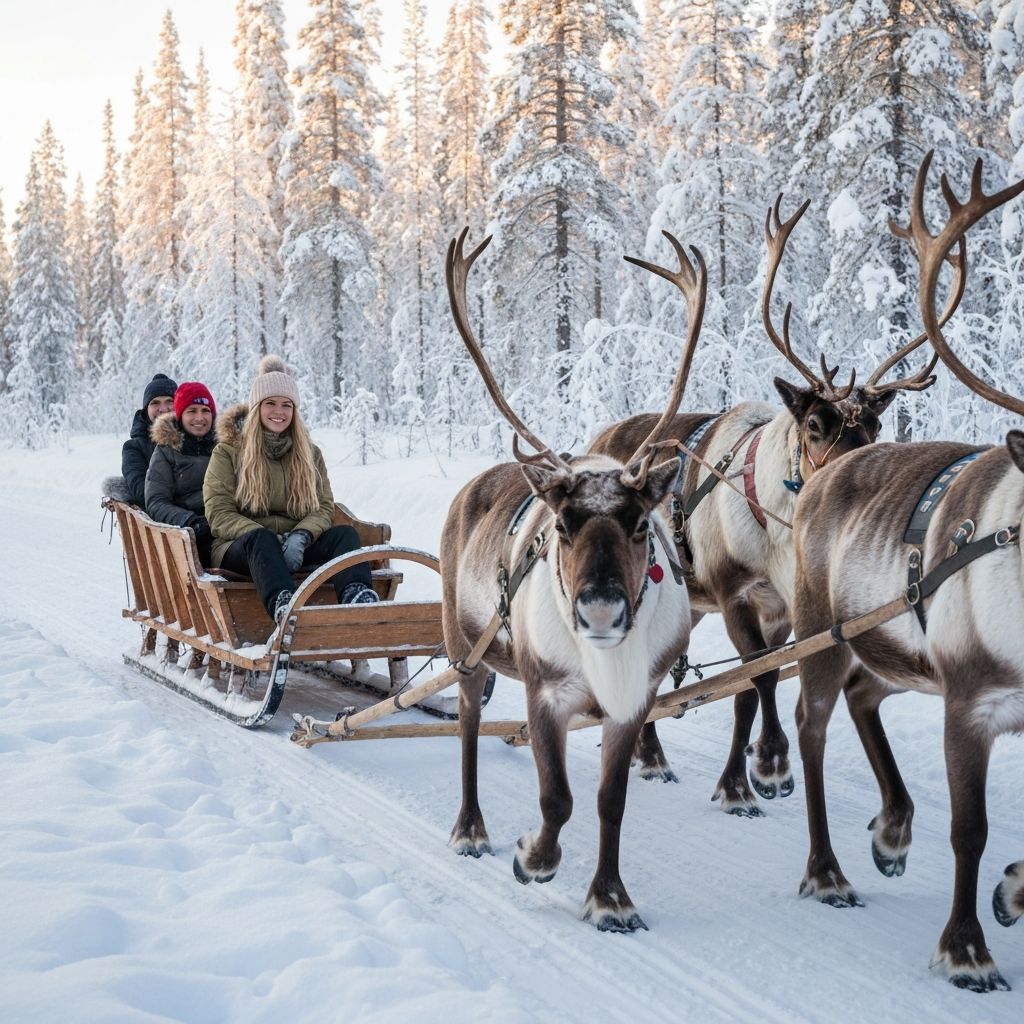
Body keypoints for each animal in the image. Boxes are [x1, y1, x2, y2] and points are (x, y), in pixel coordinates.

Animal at [441, 228, 705, 931]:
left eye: (641, 524)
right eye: (562, 525)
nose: (602, 611)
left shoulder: (635, 700)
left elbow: (611, 800)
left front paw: (610, 897)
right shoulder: (545, 690)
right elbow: (555, 798)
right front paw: (532, 857)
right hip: (463, 644)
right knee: (467, 728)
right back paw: (471, 828)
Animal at [590, 196, 964, 816]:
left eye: (876, 425)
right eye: (814, 424)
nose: (861, 475)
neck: (776, 534)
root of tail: (601, 437)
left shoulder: (781, 607)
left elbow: (746, 688)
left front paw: (735, 783)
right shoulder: (733, 593)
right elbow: (760, 680)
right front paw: (768, 765)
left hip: (688, 602)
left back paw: (650, 753)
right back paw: (649, 753)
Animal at [790, 151, 1024, 991]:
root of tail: (829, 470)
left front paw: (1012, 893)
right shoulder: (969, 699)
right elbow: (970, 828)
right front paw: (966, 950)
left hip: (894, 650)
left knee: (866, 696)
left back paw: (890, 832)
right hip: (820, 631)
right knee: (812, 722)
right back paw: (827, 871)